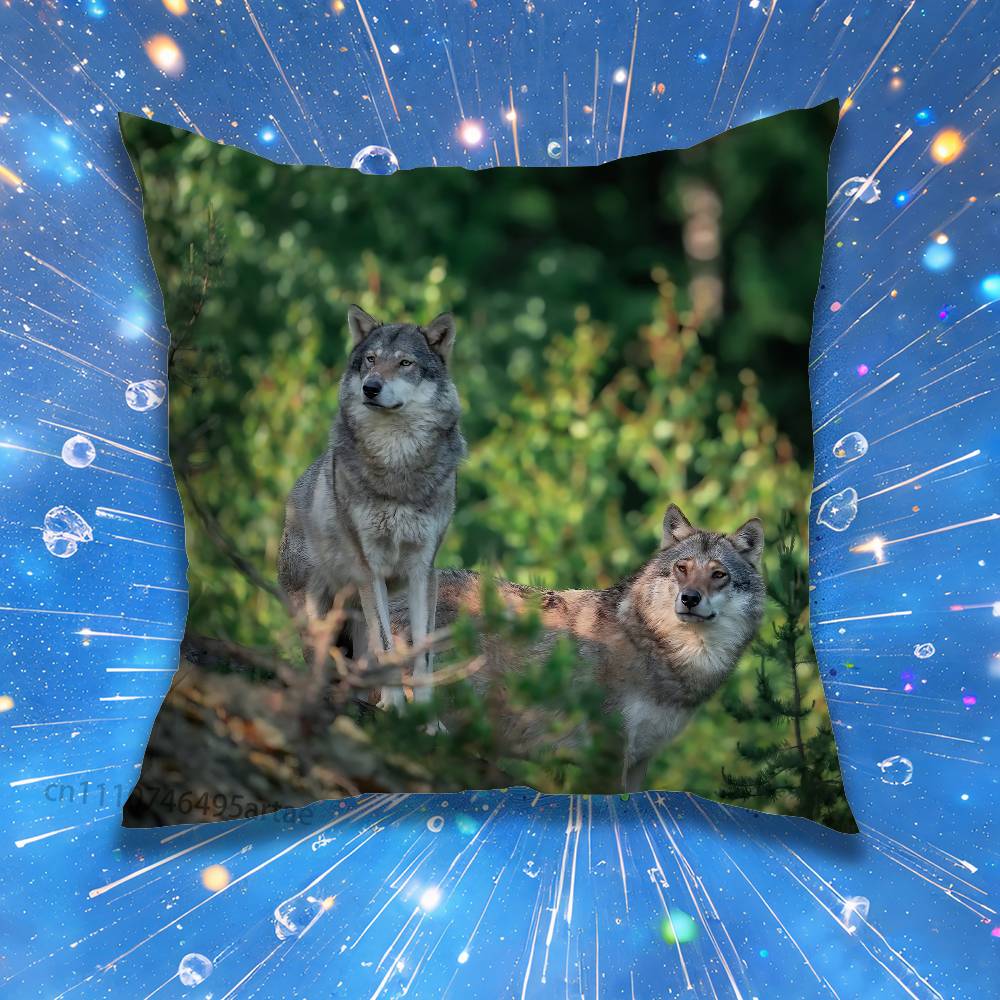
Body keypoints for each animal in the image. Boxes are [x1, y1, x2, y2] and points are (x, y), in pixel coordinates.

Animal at [278, 305, 465, 709]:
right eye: (371, 360)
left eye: (406, 363)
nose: (371, 387)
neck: (398, 464)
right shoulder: (371, 570)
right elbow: (387, 648)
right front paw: (396, 707)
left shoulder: (423, 570)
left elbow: (422, 654)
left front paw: (426, 716)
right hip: (320, 615)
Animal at [422, 505, 765, 791]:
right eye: (682, 568)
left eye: (718, 574)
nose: (690, 598)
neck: (651, 644)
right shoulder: (607, 756)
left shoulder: (640, 759)